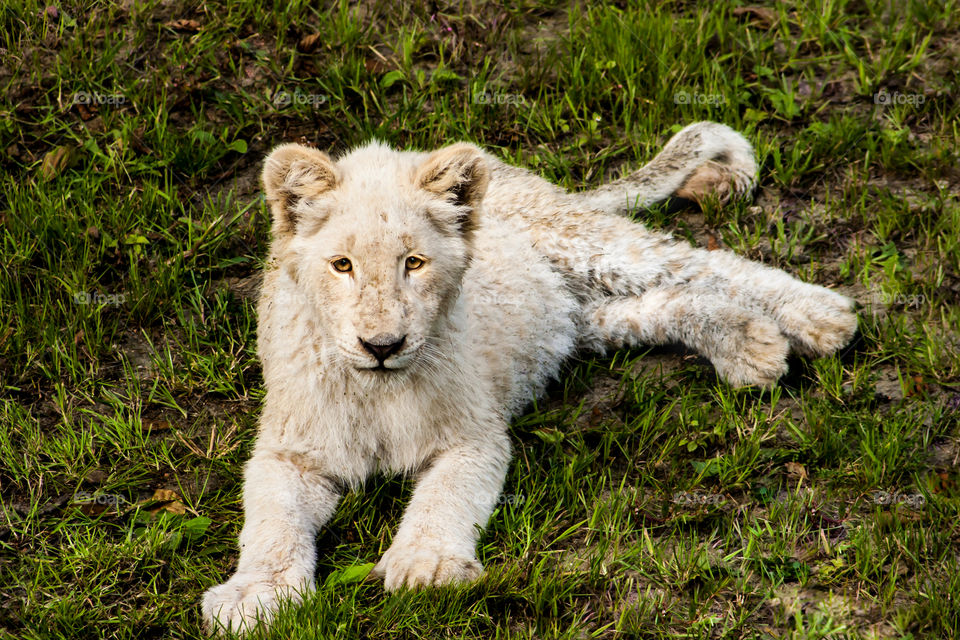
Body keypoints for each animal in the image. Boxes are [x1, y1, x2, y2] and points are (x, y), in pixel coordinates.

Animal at [202, 122, 857, 633]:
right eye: (342, 265)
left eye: (414, 262)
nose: (382, 346)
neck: (375, 390)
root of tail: (509, 169)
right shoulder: (289, 452)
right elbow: (271, 520)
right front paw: (255, 598)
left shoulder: (475, 437)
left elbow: (443, 498)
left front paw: (426, 567)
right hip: (577, 318)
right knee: (667, 301)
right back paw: (751, 344)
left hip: (587, 247)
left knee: (705, 264)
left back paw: (820, 317)